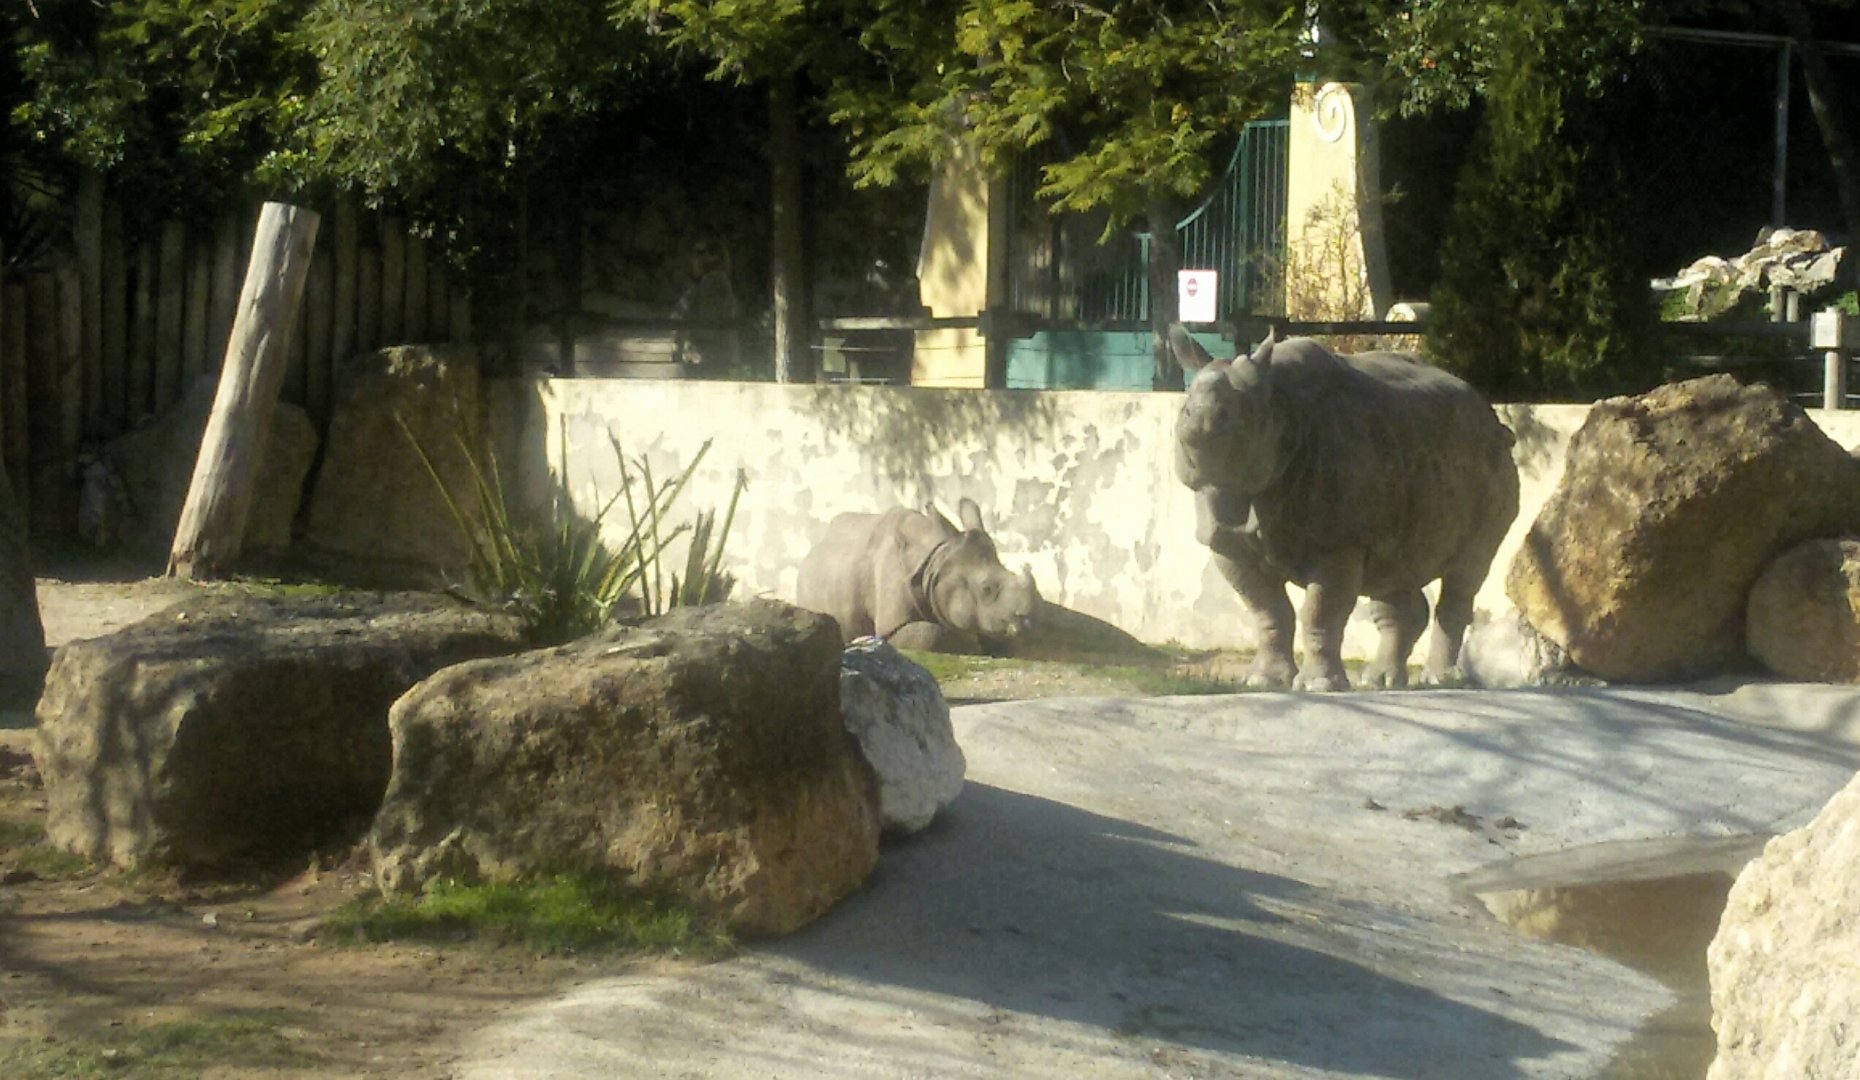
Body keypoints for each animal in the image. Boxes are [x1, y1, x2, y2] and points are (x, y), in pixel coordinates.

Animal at [796, 498, 1038, 654]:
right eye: (987, 588)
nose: (1028, 623)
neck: (936, 561)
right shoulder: (891, 627)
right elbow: (931, 634)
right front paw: (971, 645)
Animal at [1171, 326, 1519, 690]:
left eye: (1242, 414)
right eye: (1185, 410)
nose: (1200, 425)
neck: (1278, 401)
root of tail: (1489, 413)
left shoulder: (1338, 542)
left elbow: (1320, 611)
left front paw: (1319, 686)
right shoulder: (1227, 541)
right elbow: (1268, 610)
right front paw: (1264, 681)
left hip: (1491, 461)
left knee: (1466, 570)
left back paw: (1441, 680)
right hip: (1412, 448)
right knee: (1394, 571)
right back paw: (1381, 682)